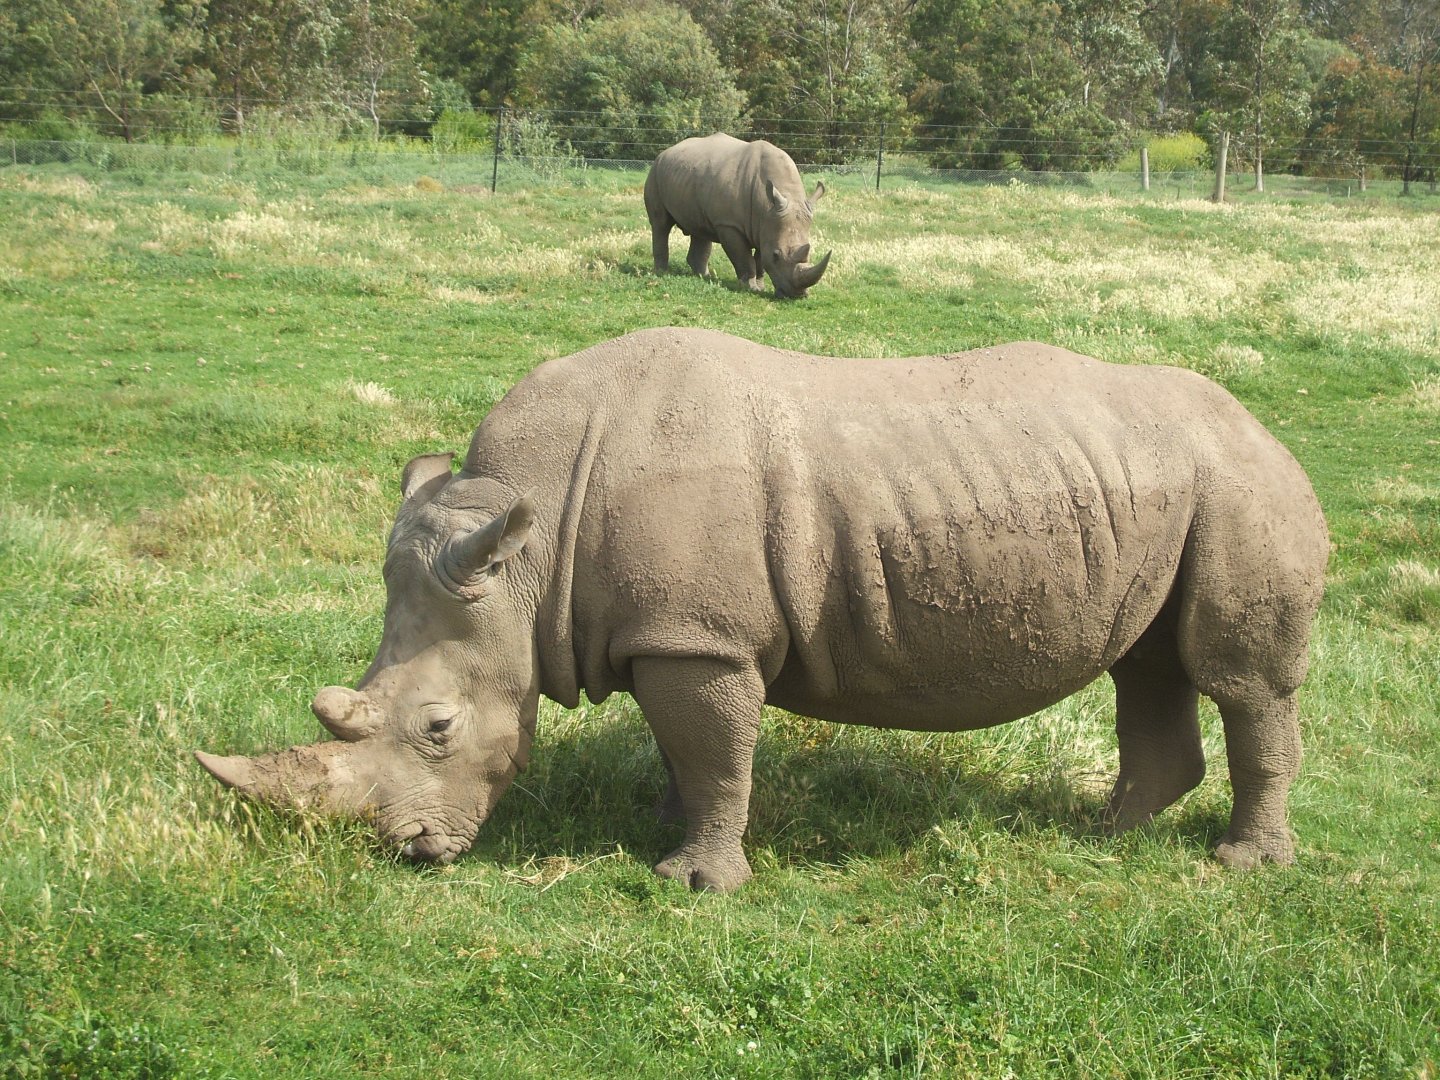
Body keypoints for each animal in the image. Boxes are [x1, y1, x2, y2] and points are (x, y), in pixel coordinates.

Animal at [197, 328, 1329, 892]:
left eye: (437, 728)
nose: (413, 854)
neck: (524, 546)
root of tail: (1266, 427)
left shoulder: (701, 639)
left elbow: (712, 747)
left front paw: (697, 883)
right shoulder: (674, 634)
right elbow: (688, 745)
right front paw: (666, 826)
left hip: (1241, 486)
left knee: (1240, 679)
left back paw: (1242, 866)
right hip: (1169, 489)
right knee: (1149, 661)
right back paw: (1106, 835)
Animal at [644, 133, 830, 298]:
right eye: (776, 255)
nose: (797, 295)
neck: (767, 207)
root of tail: (666, 151)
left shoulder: (766, 225)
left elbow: (760, 259)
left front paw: (760, 287)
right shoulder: (729, 224)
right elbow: (744, 259)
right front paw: (749, 288)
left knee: (700, 229)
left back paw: (705, 277)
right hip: (655, 171)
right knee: (660, 224)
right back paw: (661, 272)